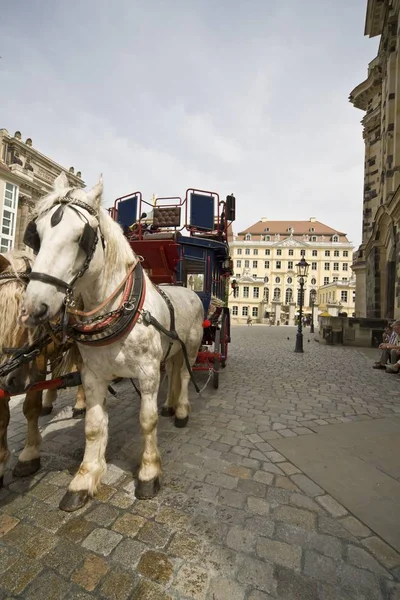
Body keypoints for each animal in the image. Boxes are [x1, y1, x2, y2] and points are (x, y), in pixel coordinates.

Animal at [0, 251, 84, 486]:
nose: (12, 381)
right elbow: (2, 417)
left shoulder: (34, 365)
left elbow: (30, 408)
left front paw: (29, 455)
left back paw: (80, 403)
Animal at [20, 172, 205, 510]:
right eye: (36, 234)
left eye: (82, 237)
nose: (33, 308)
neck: (118, 310)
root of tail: (186, 290)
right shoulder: (92, 374)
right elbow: (93, 426)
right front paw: (85, 478)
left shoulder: (147, 374)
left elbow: (147, 420)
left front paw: (148, 473)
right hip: (171, 351)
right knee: (173, 373)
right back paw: (171, 405)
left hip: (193, 347)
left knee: (184, 376)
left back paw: (182, 411)